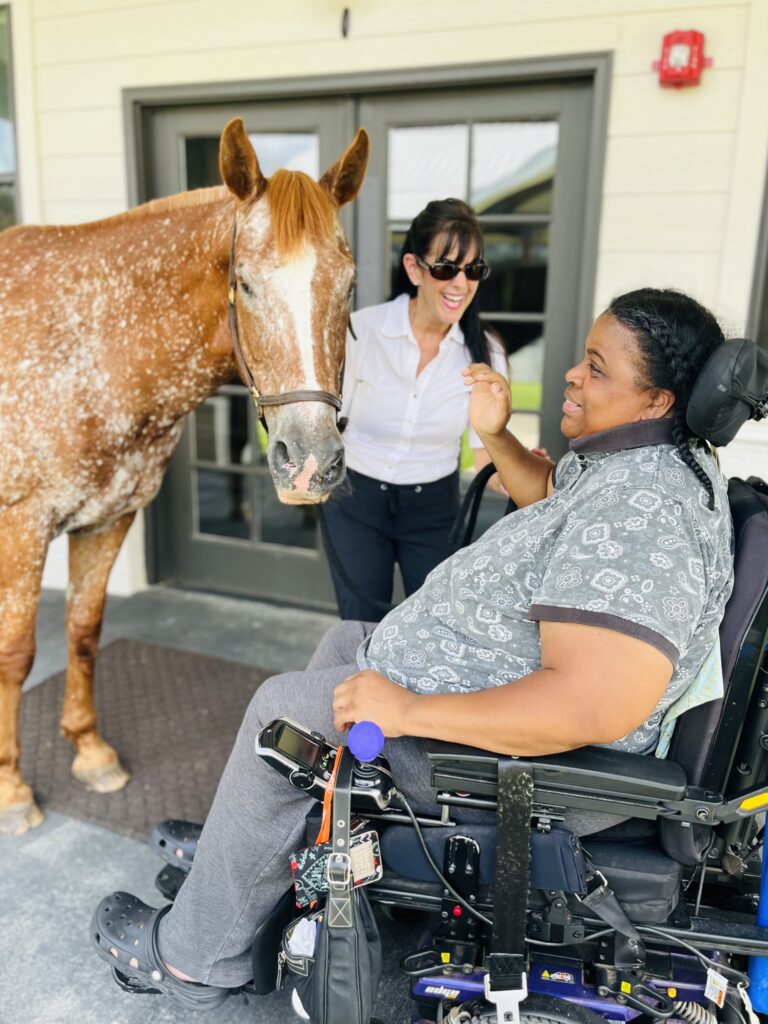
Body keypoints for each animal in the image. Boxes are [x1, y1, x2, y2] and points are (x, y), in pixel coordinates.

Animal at [0, 117, 370, 831]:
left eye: (349, 287)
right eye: (244, 283)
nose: (310, 461)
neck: (88, 345)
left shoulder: (108, 518)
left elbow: (82, 633)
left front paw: (90, 753)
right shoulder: (21, 527)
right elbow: (17, 653)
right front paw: (11, 789)